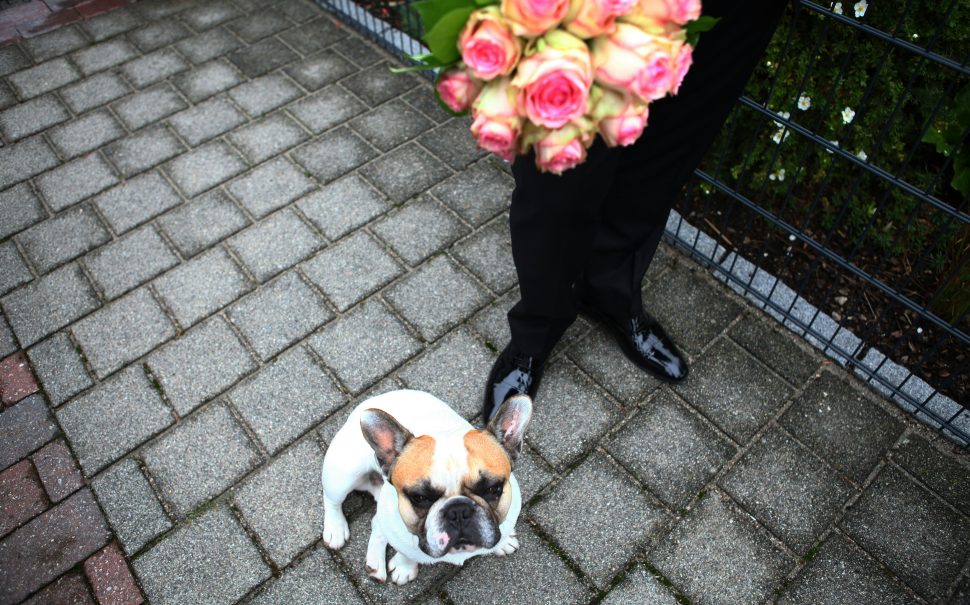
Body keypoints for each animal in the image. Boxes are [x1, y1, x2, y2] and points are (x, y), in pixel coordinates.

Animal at [320, 390, 528, 584]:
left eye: (493, 489)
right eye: (420, 498)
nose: (458, 510)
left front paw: (504, 542)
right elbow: (406, 553)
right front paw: (404, 567)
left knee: (376, 522)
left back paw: (374, 564)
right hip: (343, 475)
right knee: (332, 500)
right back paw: (336, 529)